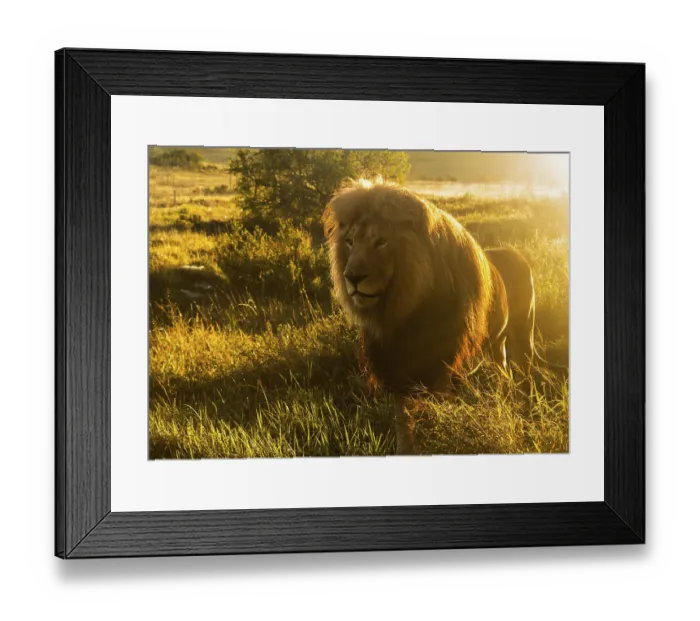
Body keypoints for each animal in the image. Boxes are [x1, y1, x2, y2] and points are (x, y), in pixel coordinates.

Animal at [323, 179, 537, 455]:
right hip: (496, 343)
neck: (403, 315)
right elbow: (404, 426)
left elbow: (434, 421)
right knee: (502, 371)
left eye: (381, 242)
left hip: (524, 337)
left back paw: (525, 413)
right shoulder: (399, 372)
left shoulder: (441, 370)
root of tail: (517, 254)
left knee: (524, 377)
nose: (352, 277)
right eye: (349, 241)